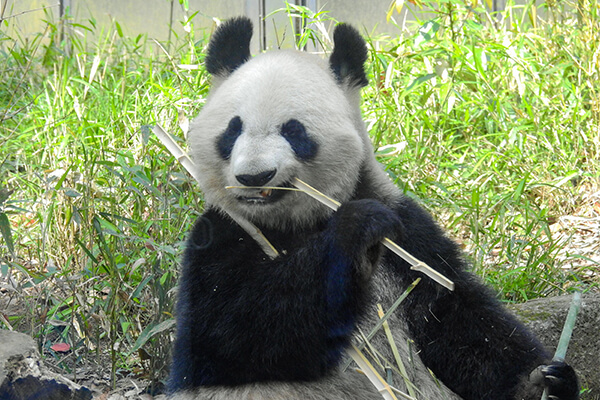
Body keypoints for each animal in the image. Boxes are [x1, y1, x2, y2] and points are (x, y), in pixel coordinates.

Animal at [166, 16, 580, 400]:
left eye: (294, 130)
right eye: (232, 130)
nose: (254, 176)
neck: (295, 222)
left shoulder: (410, 235)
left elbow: (456, 319)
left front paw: (540, 381)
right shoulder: (220, 235)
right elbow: (231, 332)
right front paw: (356, 227)